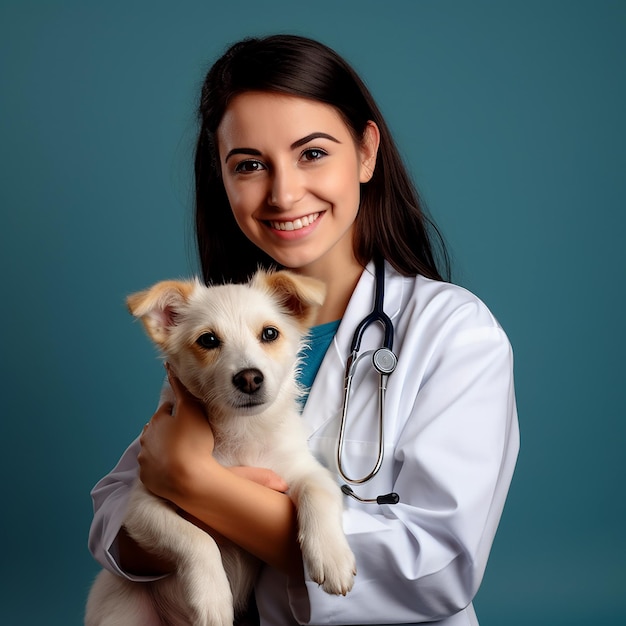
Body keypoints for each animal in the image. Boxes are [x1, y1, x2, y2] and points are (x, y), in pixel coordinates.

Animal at [84, 270, 356, 624]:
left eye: (270, 333)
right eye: (208, 340)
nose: (250, 378)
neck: (240, 430)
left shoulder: (303, 470)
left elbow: (318, 493)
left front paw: (332, 557)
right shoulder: (140, 505)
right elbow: (195, 538)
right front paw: (212, 598)